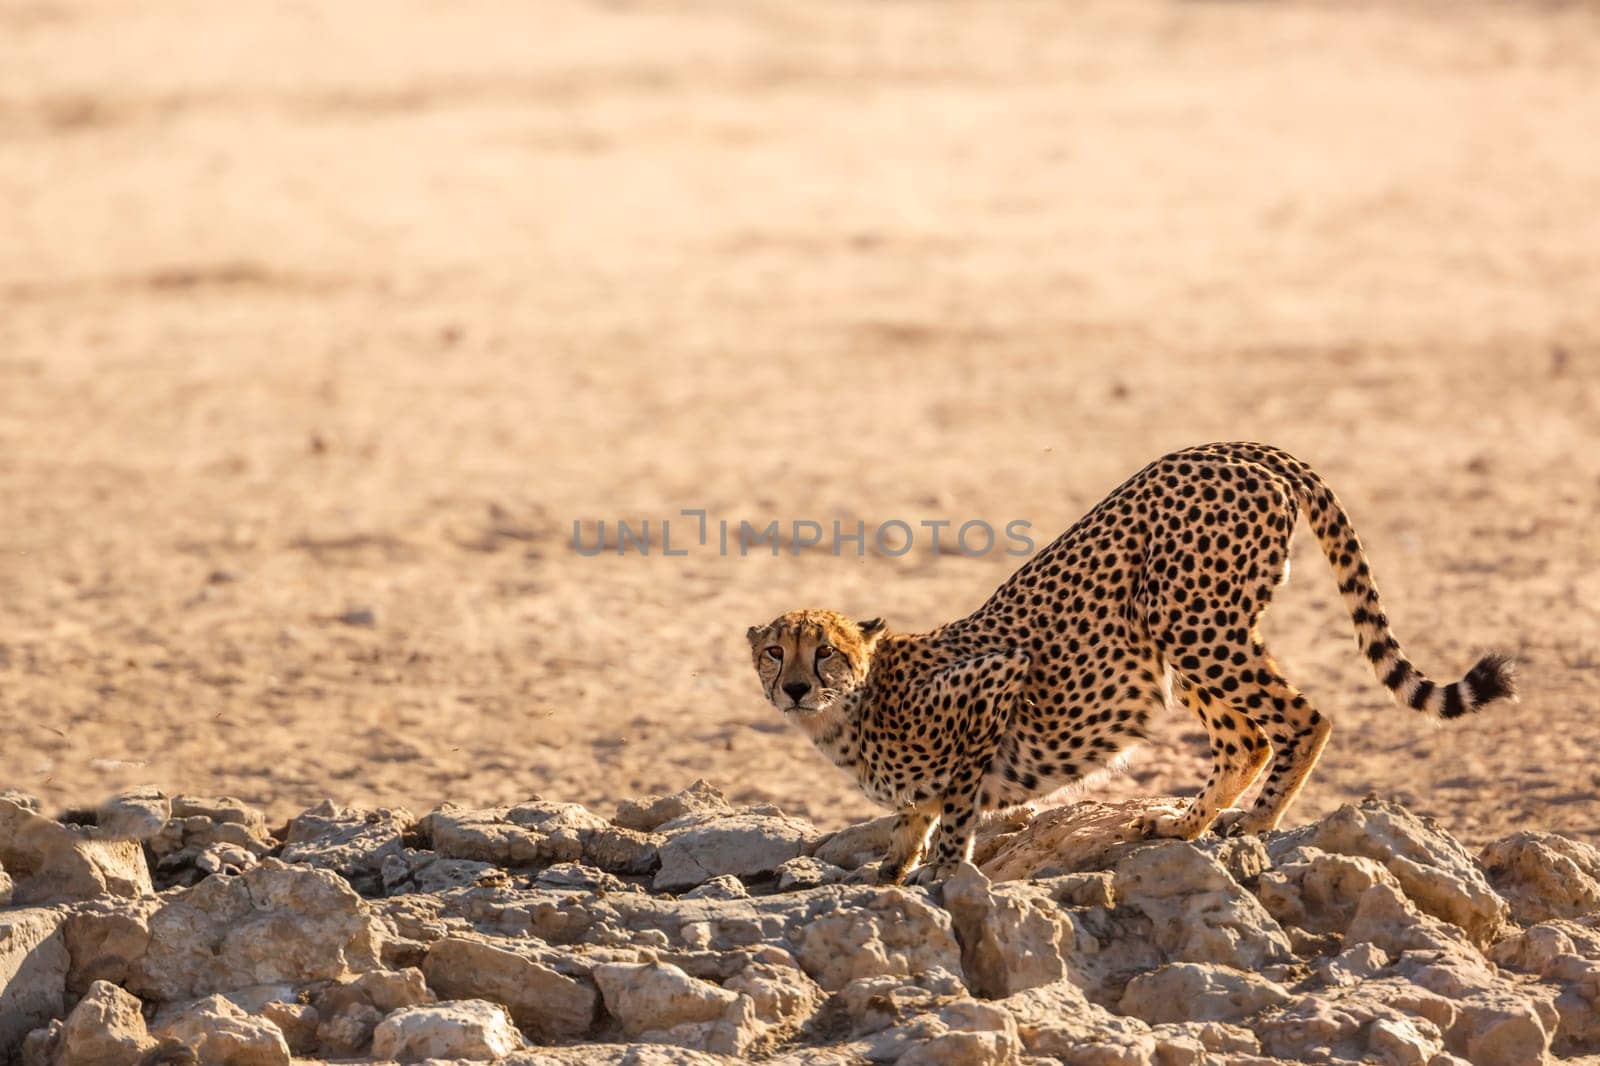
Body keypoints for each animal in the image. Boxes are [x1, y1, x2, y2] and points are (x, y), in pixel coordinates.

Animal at [745, 438, 1510, 877]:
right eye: (776, 652)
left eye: (826, 654)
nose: (793, 689)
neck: (852, 711)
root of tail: (1233, 447)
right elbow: (912, 818)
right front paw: (890, 872)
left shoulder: (993, 679)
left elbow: (957, 807)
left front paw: (943, 873)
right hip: (1184, 635)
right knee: (1247, 738)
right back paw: (1182, 825)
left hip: (1189, 619)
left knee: (1302, 718)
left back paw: (1256, 824)